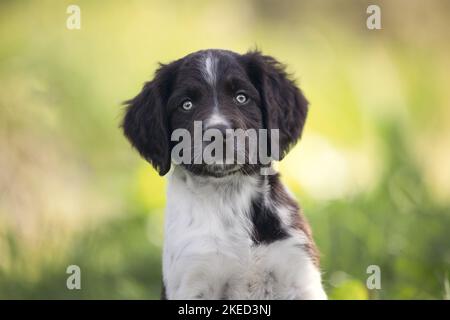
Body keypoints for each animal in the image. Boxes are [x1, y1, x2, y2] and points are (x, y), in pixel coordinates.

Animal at [122, 48, 326, 298]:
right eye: (186, 105)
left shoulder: (297, 269)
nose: (218, 134)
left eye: (241, 97)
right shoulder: (194, 278)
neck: (228, 196)